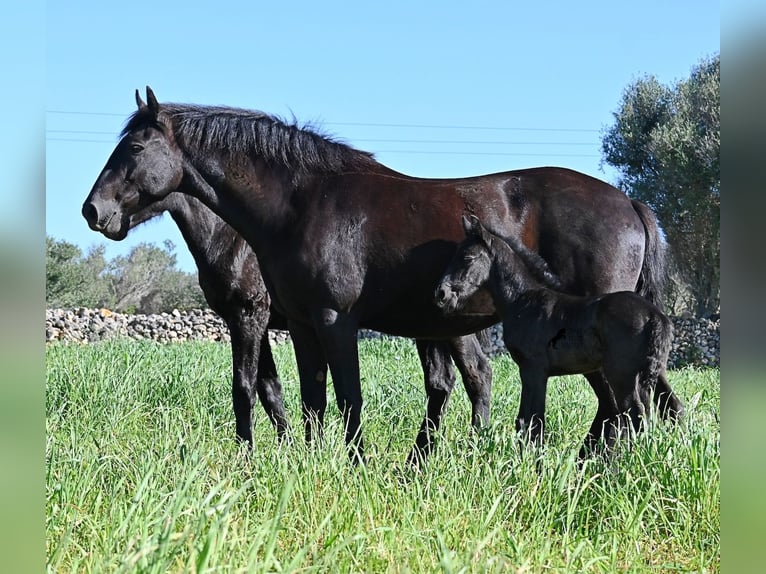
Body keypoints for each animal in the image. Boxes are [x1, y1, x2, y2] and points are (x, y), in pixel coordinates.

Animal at [91, 190, 494, 462]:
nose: (99, 214)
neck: (233, 238)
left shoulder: (248, 318)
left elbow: (248, 387)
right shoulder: (256, 324)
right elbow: (271, 390)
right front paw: (288, 450)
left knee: (475, 374)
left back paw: (473, 447)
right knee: (456, 379)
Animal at [435, 215, 682, 448]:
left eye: (468, 257)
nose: (441, 293)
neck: (523, 299)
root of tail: (656, 316)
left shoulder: (533, 369)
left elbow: (530, 421)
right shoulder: (535, 371)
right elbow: (529, 421)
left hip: (623, 375)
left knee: (634, 416)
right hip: (644, 376)